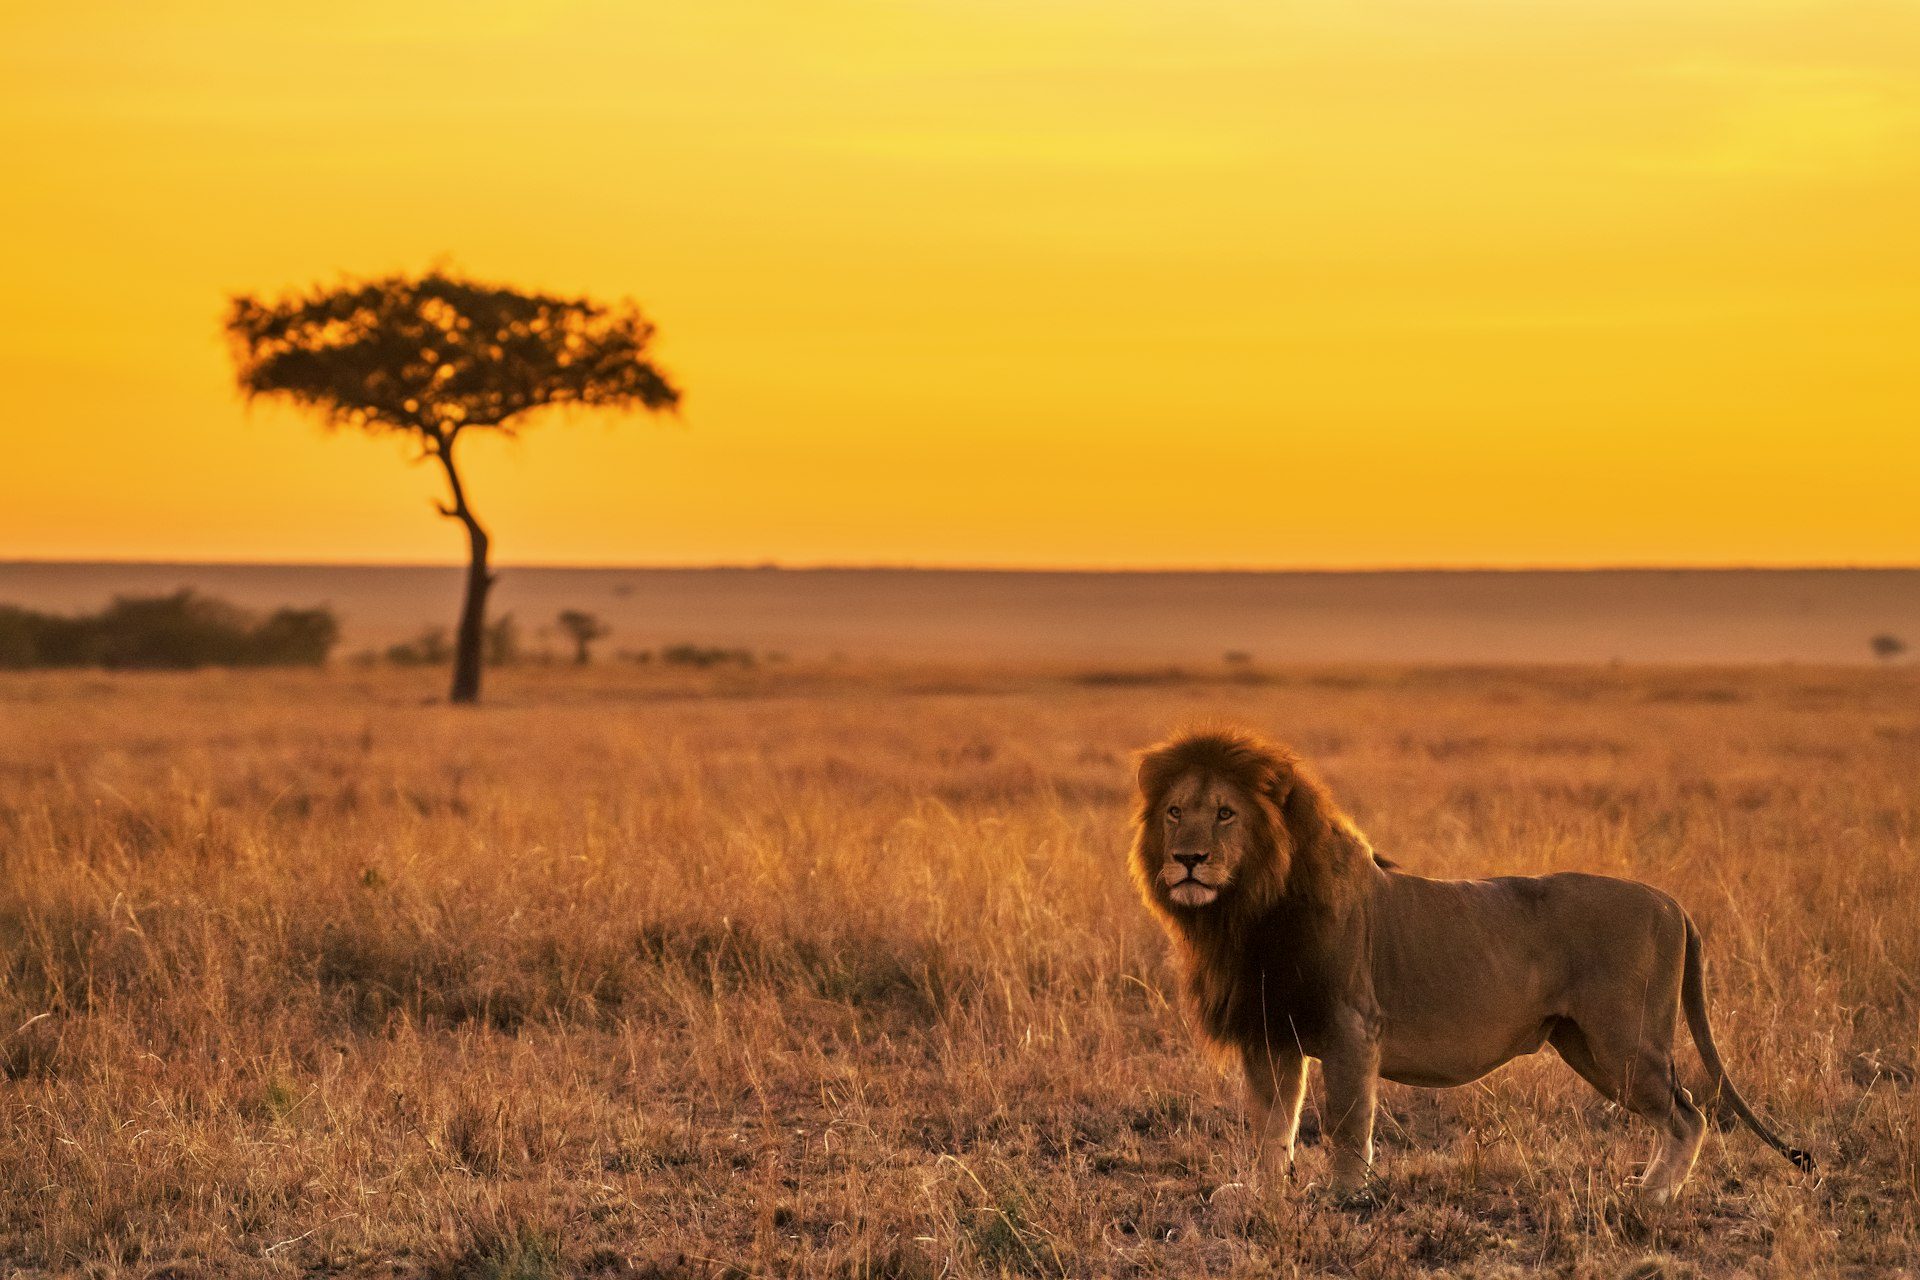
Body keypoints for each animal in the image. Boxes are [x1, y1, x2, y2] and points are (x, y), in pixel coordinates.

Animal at [1128, 728, 1814, 1202]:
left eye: (1225, 813)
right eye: (1174, 812)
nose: (1187, 859)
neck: (1246, 912)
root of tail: (1670, 901)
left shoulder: (1352, 1025)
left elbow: (1347, 1121)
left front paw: (1345, 1196)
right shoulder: (1270, 1031)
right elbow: (1272, 1121)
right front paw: (1262, 1193)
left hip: (1624, 1038)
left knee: (1688, 1114)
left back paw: (1650, 1200)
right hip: (1585, 1046)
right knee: (1680, 1111)